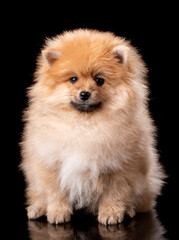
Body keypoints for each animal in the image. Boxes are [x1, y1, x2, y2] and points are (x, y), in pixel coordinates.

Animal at [19, 28, 165, 225]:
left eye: (99, 80)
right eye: (73, 79)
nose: (84, 94)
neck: (85, 124)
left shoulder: (118, 165)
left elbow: (115, 192)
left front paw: (112, 213)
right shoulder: (50, 162)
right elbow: (55, 192)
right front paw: (57, 212)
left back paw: (129, 210)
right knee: (37, 194)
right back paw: (37, 209)